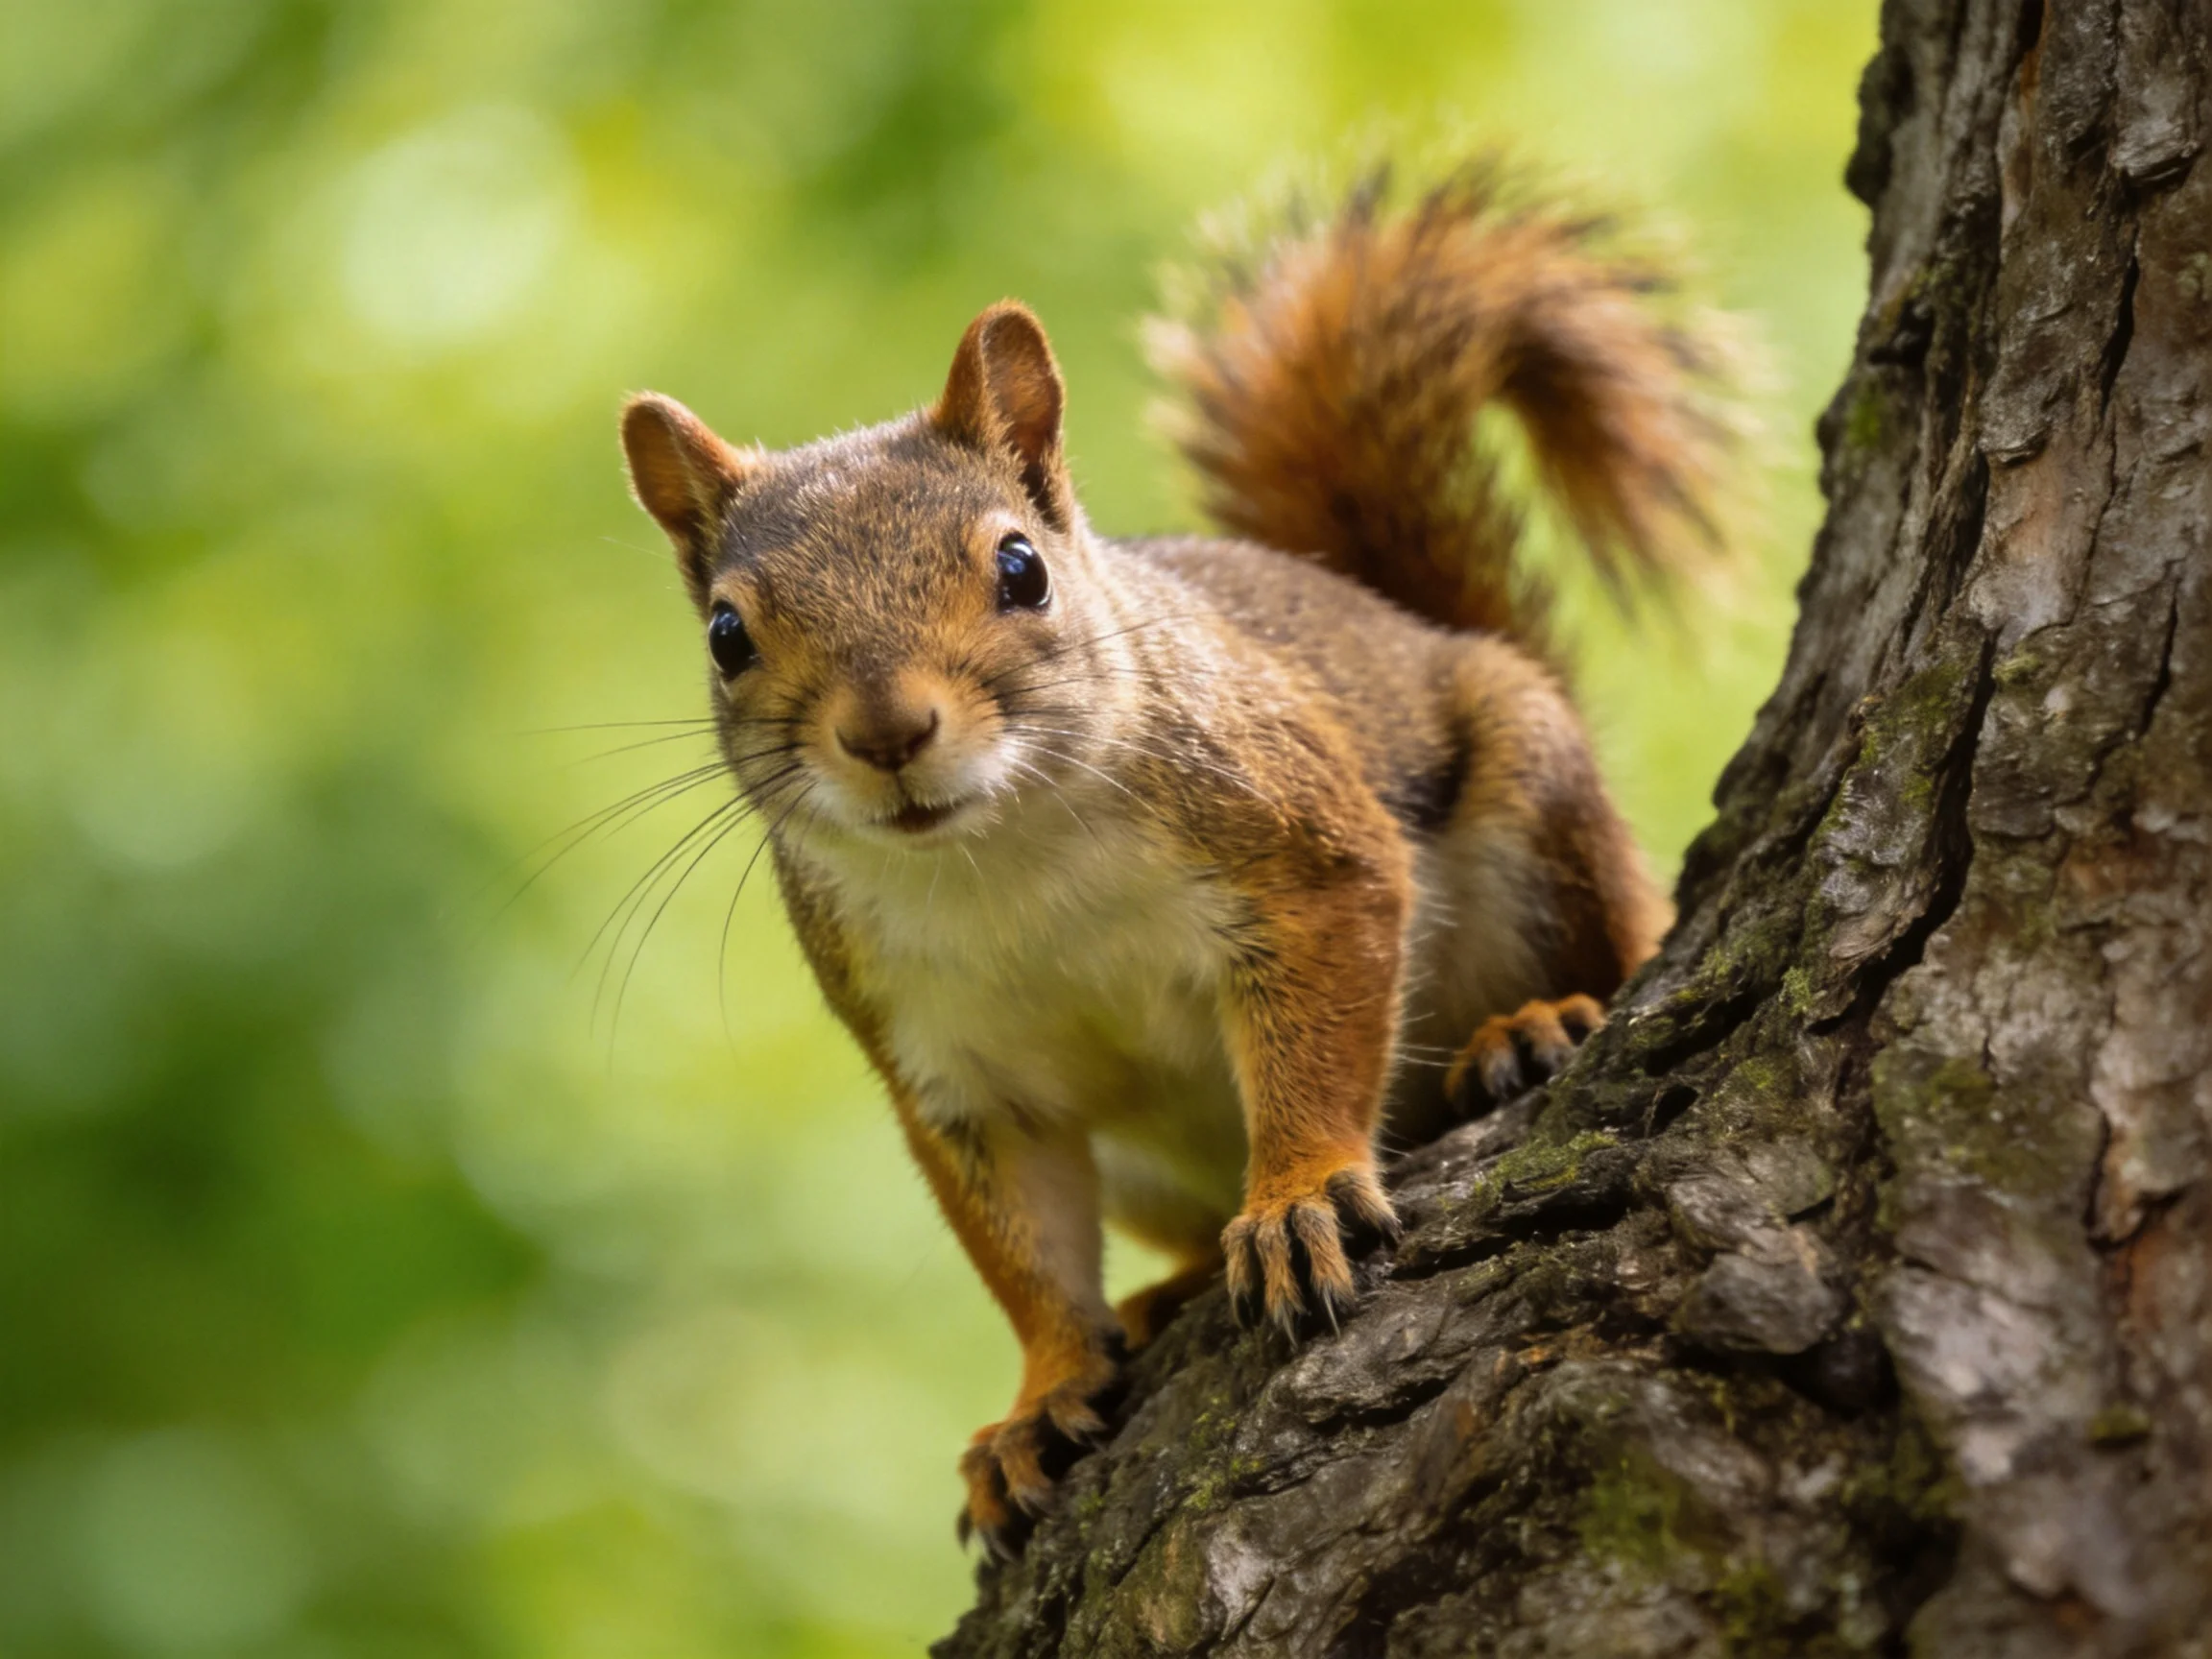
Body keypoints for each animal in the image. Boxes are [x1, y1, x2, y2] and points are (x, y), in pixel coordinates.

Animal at [619, 164, 1735, 1557]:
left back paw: (1539, 1023)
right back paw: (1173, 1287)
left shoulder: (1304, 856)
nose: (886, 735)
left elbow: (1319, 1032)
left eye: (1021, 568)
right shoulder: (943, 1062)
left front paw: (1300, 1196)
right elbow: (1021, 1246)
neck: (1003, 861)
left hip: (1538, 806)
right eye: (726, 635)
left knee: (1612, 936)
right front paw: (1037, 1396)